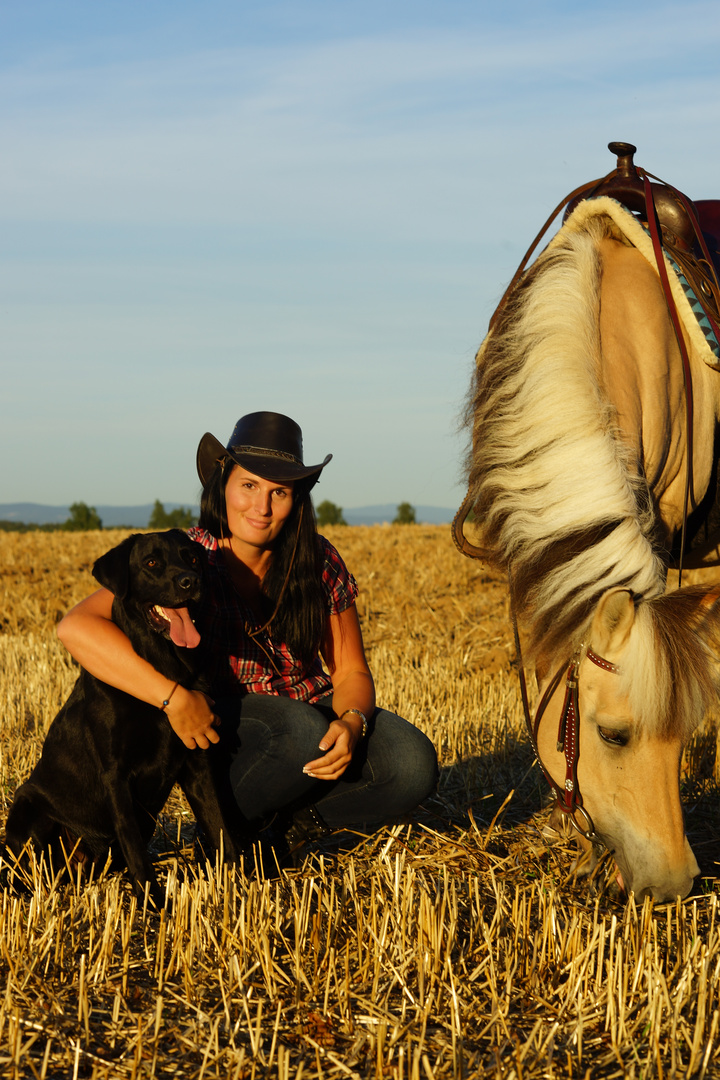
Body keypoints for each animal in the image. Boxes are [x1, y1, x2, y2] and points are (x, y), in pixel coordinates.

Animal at [3, 529, 245, 902]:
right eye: (151, 562)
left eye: (191, 557)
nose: (191, 581)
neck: (164, 667)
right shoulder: (116, 777)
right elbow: (135, 848)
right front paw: (153, 902)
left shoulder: (197, 764)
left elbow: (219, 827)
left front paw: (236, 884)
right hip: (28, 807)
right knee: (27, 872)